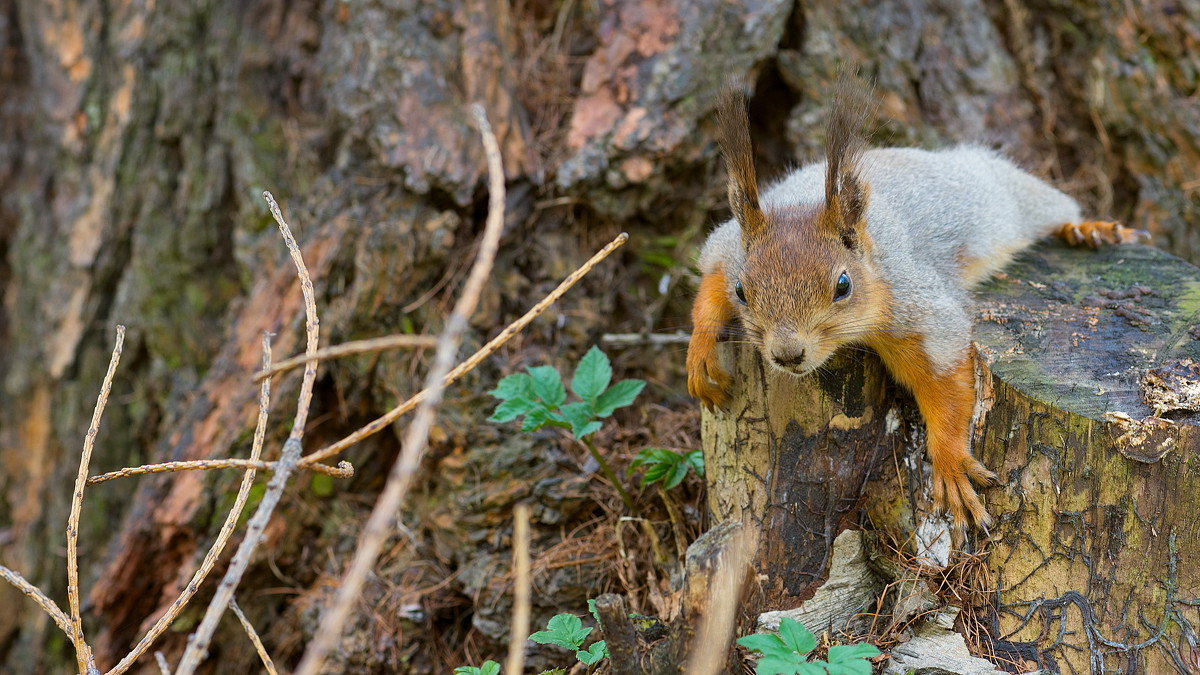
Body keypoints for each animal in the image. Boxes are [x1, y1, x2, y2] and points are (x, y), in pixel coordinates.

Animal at [686, 79, 1142, 530]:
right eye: (742, 291)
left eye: (843, 285)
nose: (787, 354)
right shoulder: (727, 251)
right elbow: (709, 283)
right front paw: (700, 354)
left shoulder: (919, 308)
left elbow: (947, 381)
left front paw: (950, 462)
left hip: (1016, 197)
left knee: (1058, 210)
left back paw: (1087, 229)